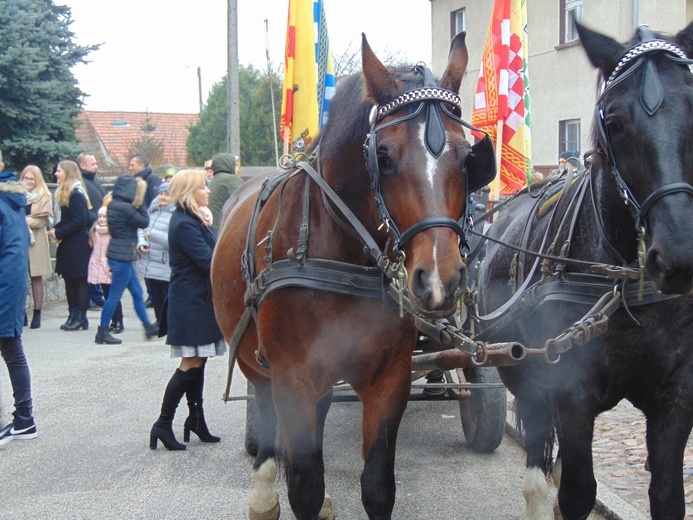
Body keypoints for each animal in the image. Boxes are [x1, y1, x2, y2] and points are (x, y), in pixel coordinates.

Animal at [214, 33, 494, 520]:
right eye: (383, 156)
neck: (340, 253)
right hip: (254, 360)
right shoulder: (294, 378)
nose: (439, 280)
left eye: (468, 158)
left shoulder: (389, 377)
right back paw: (264, 493)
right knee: (265, 414)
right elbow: (305, 487)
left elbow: (378, 486)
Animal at [476, 22, 692, 516]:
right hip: (525, 376)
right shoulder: (572, 394)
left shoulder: (677, 396)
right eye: (613, 121)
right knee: (538, 473)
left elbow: (667, 497)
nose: (680, 251)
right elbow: (577, 493)